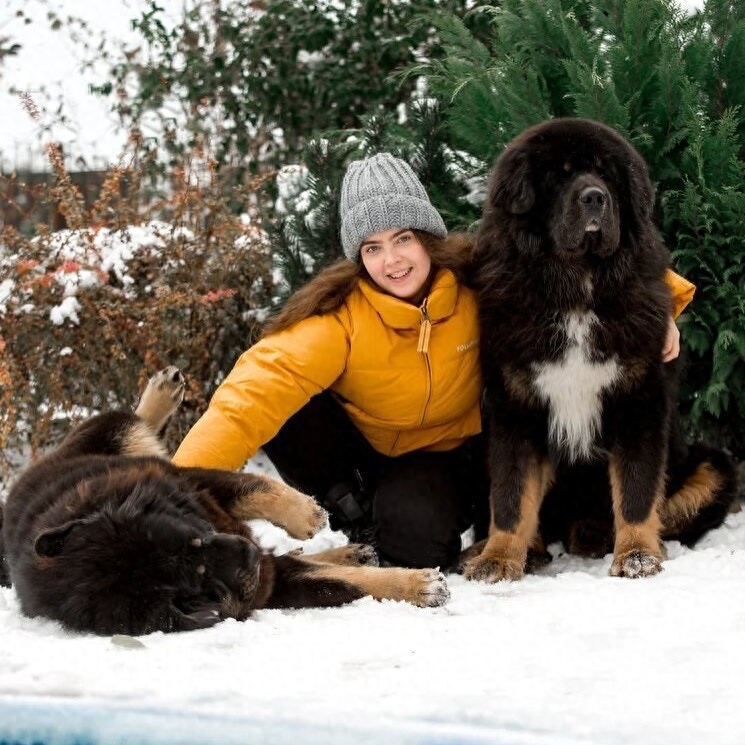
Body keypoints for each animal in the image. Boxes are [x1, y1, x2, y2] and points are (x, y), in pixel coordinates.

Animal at [1, 366, 448, 632]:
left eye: (191, 540)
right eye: (201, 586)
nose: (247, 556)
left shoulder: (186, 482)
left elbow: (255, 486)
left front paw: (305, 514)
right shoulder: (269, 584)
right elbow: (344, 581)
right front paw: (418, 586)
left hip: (112, 439)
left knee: (136, 422)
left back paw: (161, 392)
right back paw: (350, 553)